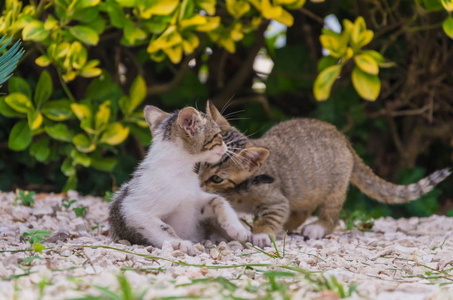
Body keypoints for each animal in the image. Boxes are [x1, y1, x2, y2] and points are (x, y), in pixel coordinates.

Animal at [109, 105, 251, 251]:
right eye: (218, 135)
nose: (226, 147)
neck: (182, 172)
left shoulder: (192, 200)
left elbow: (219, 200)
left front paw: (237, 228)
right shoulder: (133, 209)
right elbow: (162, 228)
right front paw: (179, 243)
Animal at [200, 102, 450, 247]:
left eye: (217, 178)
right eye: (199, 165)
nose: (199, 184)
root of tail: (343, 138)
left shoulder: (276, 199)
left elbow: (272, 215)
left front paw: (261, 233)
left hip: (335, 188)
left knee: (331, 215)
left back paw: (318, 226)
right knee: (302, 209)